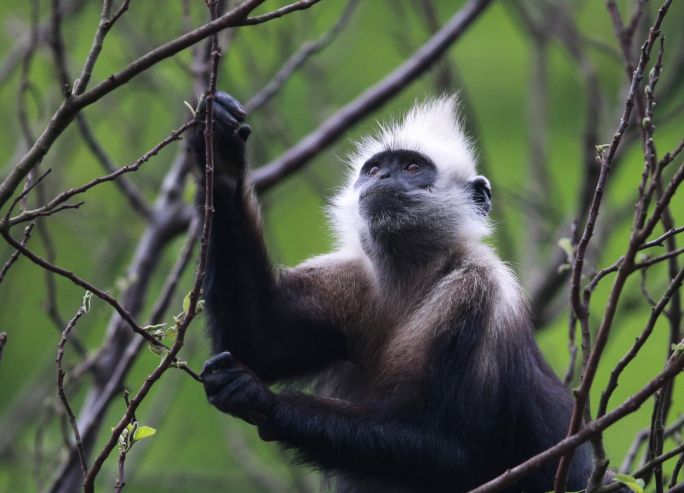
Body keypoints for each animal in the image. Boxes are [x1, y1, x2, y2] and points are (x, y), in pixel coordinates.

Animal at [191, 92, 592, 492]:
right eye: (373, 170)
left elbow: (450, 449)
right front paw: (221, 155)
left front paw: (261, 399)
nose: (382, 177)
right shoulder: (352, 281)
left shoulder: (474, 290)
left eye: (412, 168)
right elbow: (262, 344)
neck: (413, 278)